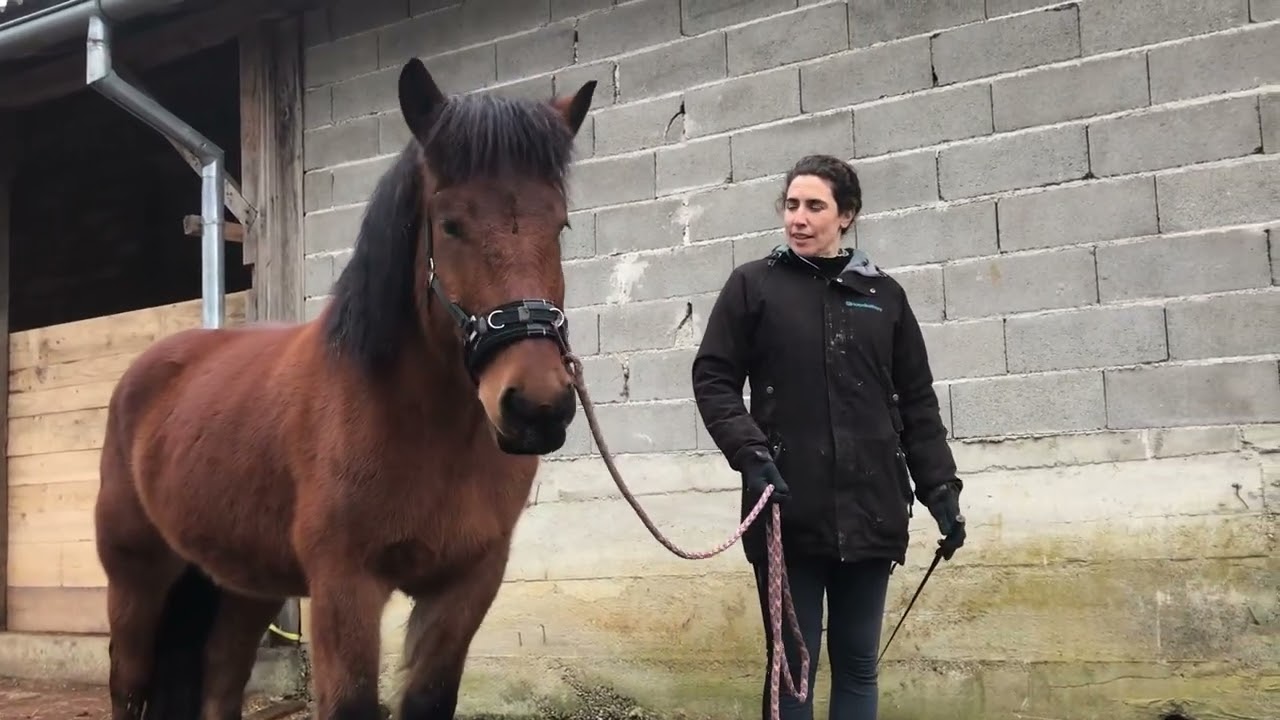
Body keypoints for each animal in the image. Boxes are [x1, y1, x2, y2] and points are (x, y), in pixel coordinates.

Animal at [92, 57, 596, 720]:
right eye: (450, 225)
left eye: (560, 224)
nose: (537, 406)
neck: (422, 426)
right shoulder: (344, 587)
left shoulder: (466, 585)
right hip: (136, 578)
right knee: (128, 684)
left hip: (244, 584)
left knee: (220, 679)